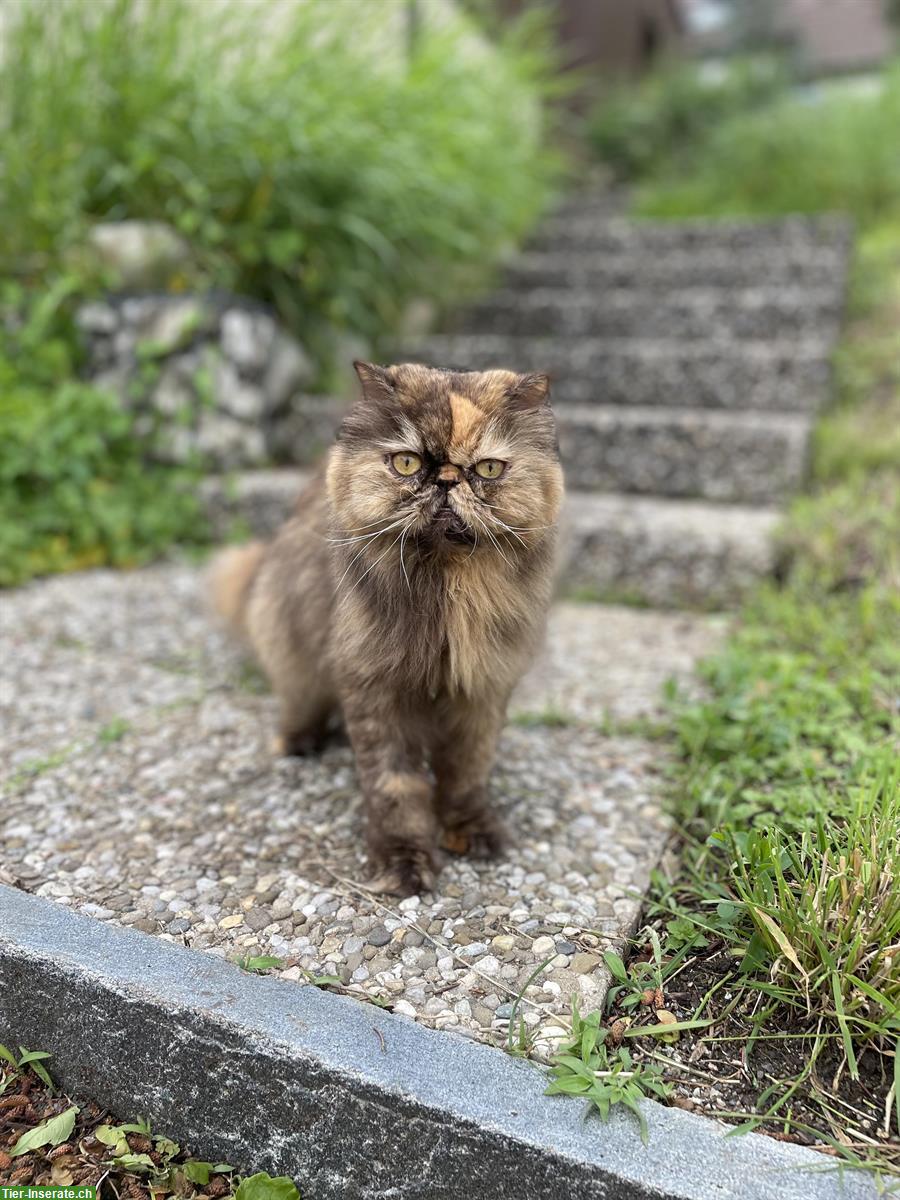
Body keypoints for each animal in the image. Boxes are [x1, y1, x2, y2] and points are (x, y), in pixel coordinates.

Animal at [211, 360, 564, 897]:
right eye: (406, 463)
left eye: (487, 469)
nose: (446, 480)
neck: (447, 594)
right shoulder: (376, 691)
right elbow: (395, 788)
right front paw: (404, 863)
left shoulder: (481, 691)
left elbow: (467, 775)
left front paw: (471, 831)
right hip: (291, 649)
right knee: (299, 703)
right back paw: (299, 742)